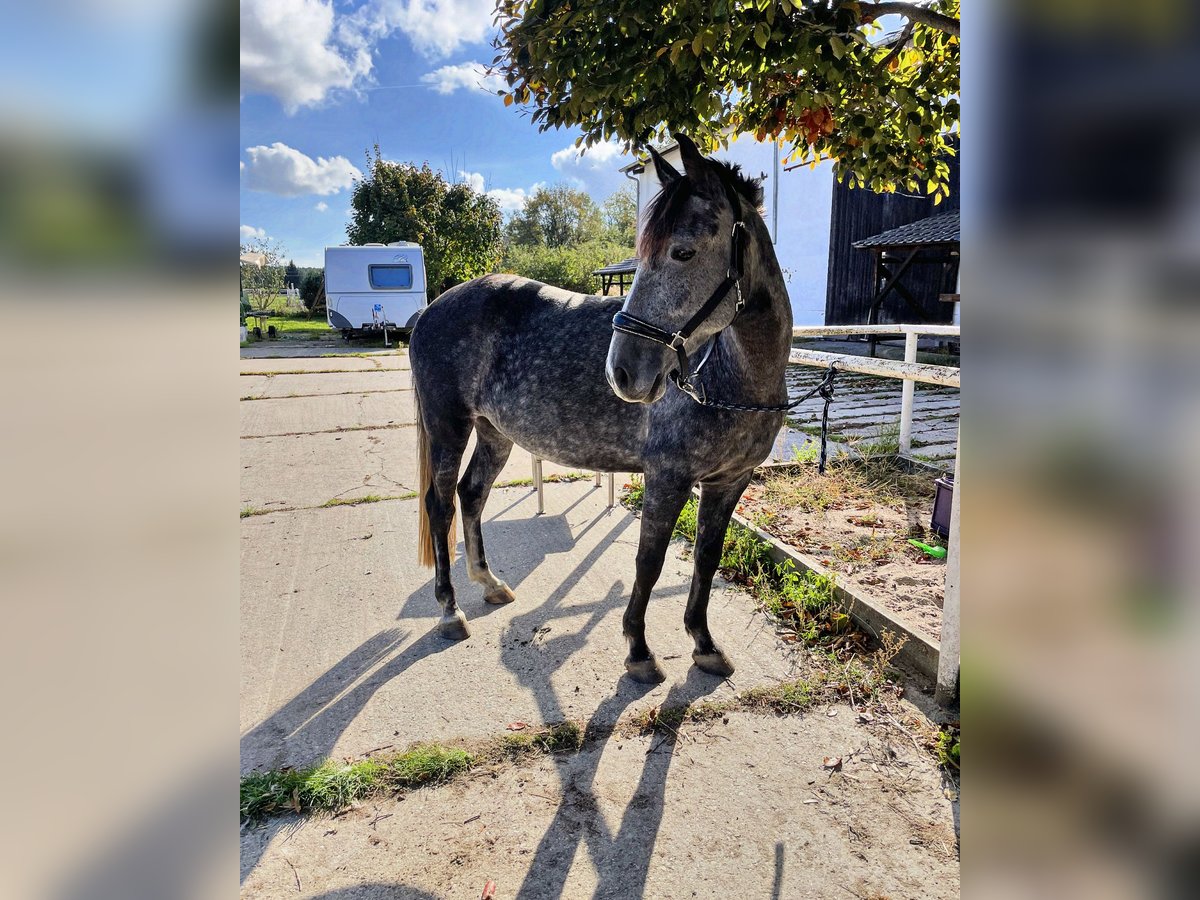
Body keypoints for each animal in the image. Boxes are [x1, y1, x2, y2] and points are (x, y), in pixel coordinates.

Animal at [408, 135, 792, 681]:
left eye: (683, 251)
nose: (622, 372)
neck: (730, 377)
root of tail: (431, 309)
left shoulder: (729, 482)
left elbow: (707, 559)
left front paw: (704, 644)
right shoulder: (667, 478)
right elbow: (648, 563)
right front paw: (639, 650)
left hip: (493, 432)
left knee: (472, 494)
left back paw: (490, 584)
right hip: (448, 426)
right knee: (440, 505)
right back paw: (450, 610)